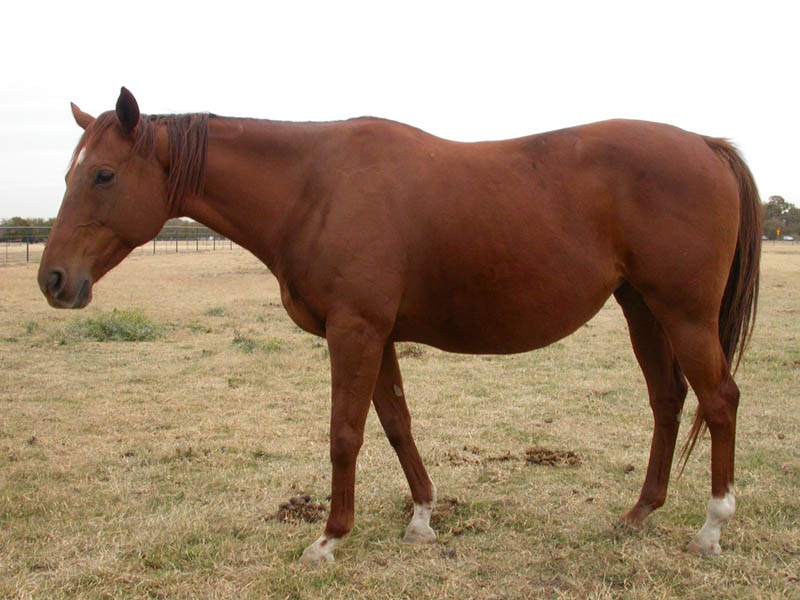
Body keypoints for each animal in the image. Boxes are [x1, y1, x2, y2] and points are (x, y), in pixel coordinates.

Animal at [38, 87, 760, 565]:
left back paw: (712, 527)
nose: (53, 280)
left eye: (103, 174)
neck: (314, 188)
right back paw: (638, 513)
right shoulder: (377, 334)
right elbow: (395, 424)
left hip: (684, 313)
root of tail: (704, 145)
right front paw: (420, 518)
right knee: (668, 402)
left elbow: (346, 434)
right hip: (643, 308)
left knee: (720, 401)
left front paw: (329, 537)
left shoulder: (354, 331)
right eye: (72, 171)